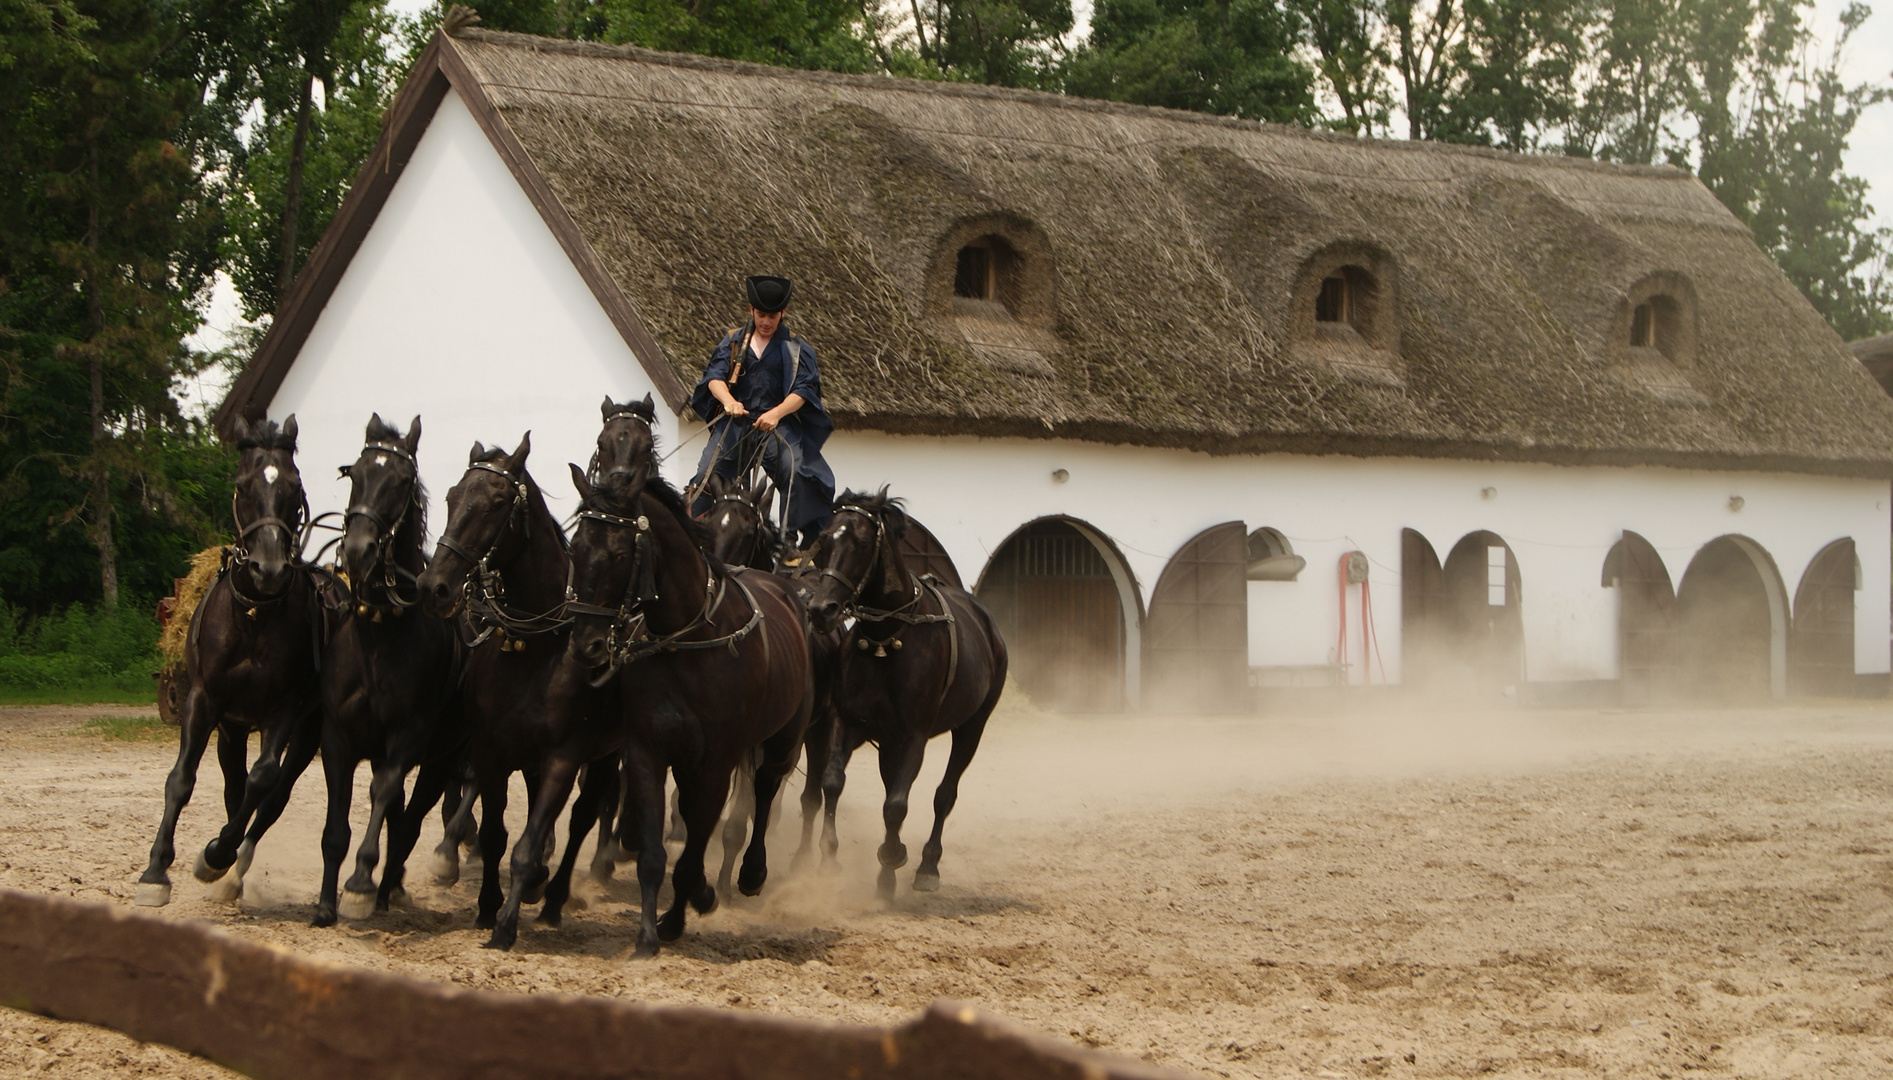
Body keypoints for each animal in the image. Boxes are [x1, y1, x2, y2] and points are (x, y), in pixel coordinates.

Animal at [136, 418, 325, 907]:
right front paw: (155, 871)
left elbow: (262, 781)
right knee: (232, 785)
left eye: (295, 486)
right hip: (234, 727)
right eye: (242, 485)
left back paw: (232, 865)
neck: (254, 614)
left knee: (271, 796)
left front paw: (217, 854)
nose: (269, 569)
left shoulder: (284, 708)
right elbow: (182, 778)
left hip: (307, 731)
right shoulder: (205, 701)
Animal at [314, 418, 465, 926]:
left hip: (441, 760)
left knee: (409, 819)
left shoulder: (408, 738)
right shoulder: (337, 738)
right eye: (354, 474)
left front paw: (360, 884)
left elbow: (383, 797)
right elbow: (337, 827)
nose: (359, 550)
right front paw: (325, 905)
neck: (381, 631)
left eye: (401, 481)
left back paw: (387, 886)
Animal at [414, 427, 620, 949]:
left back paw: (553, 897)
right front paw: (488, 905)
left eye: (497, 502)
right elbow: (494, 834)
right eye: (452, 497)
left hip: (606, 757)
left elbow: (531, 841)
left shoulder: (563, 757)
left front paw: (509, 916)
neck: (536, 646)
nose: (435, 586)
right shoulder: (492, 750)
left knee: (583, 818)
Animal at [560, 393, 813, 960]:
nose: (587, 645)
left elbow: (700, 839)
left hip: (782, 739)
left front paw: (689, 902)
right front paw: (648, 933)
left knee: (764, 793)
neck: (685, 634)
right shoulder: (648, 751)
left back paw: (749, 874)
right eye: (576, 548)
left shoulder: (718, 760)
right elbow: (657, 846)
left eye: (619, 554)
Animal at [802, 495, 1007, 900]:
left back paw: (927, 866)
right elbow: (833, 782)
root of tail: (987, 624)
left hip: (971, 727)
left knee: (944, 795)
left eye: (863, 543)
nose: (821, 610)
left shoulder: (914, 736)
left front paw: (893, 855)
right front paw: (830, 860)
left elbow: (896, 805)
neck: (886, 638)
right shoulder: (851, 723)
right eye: (825, 540)